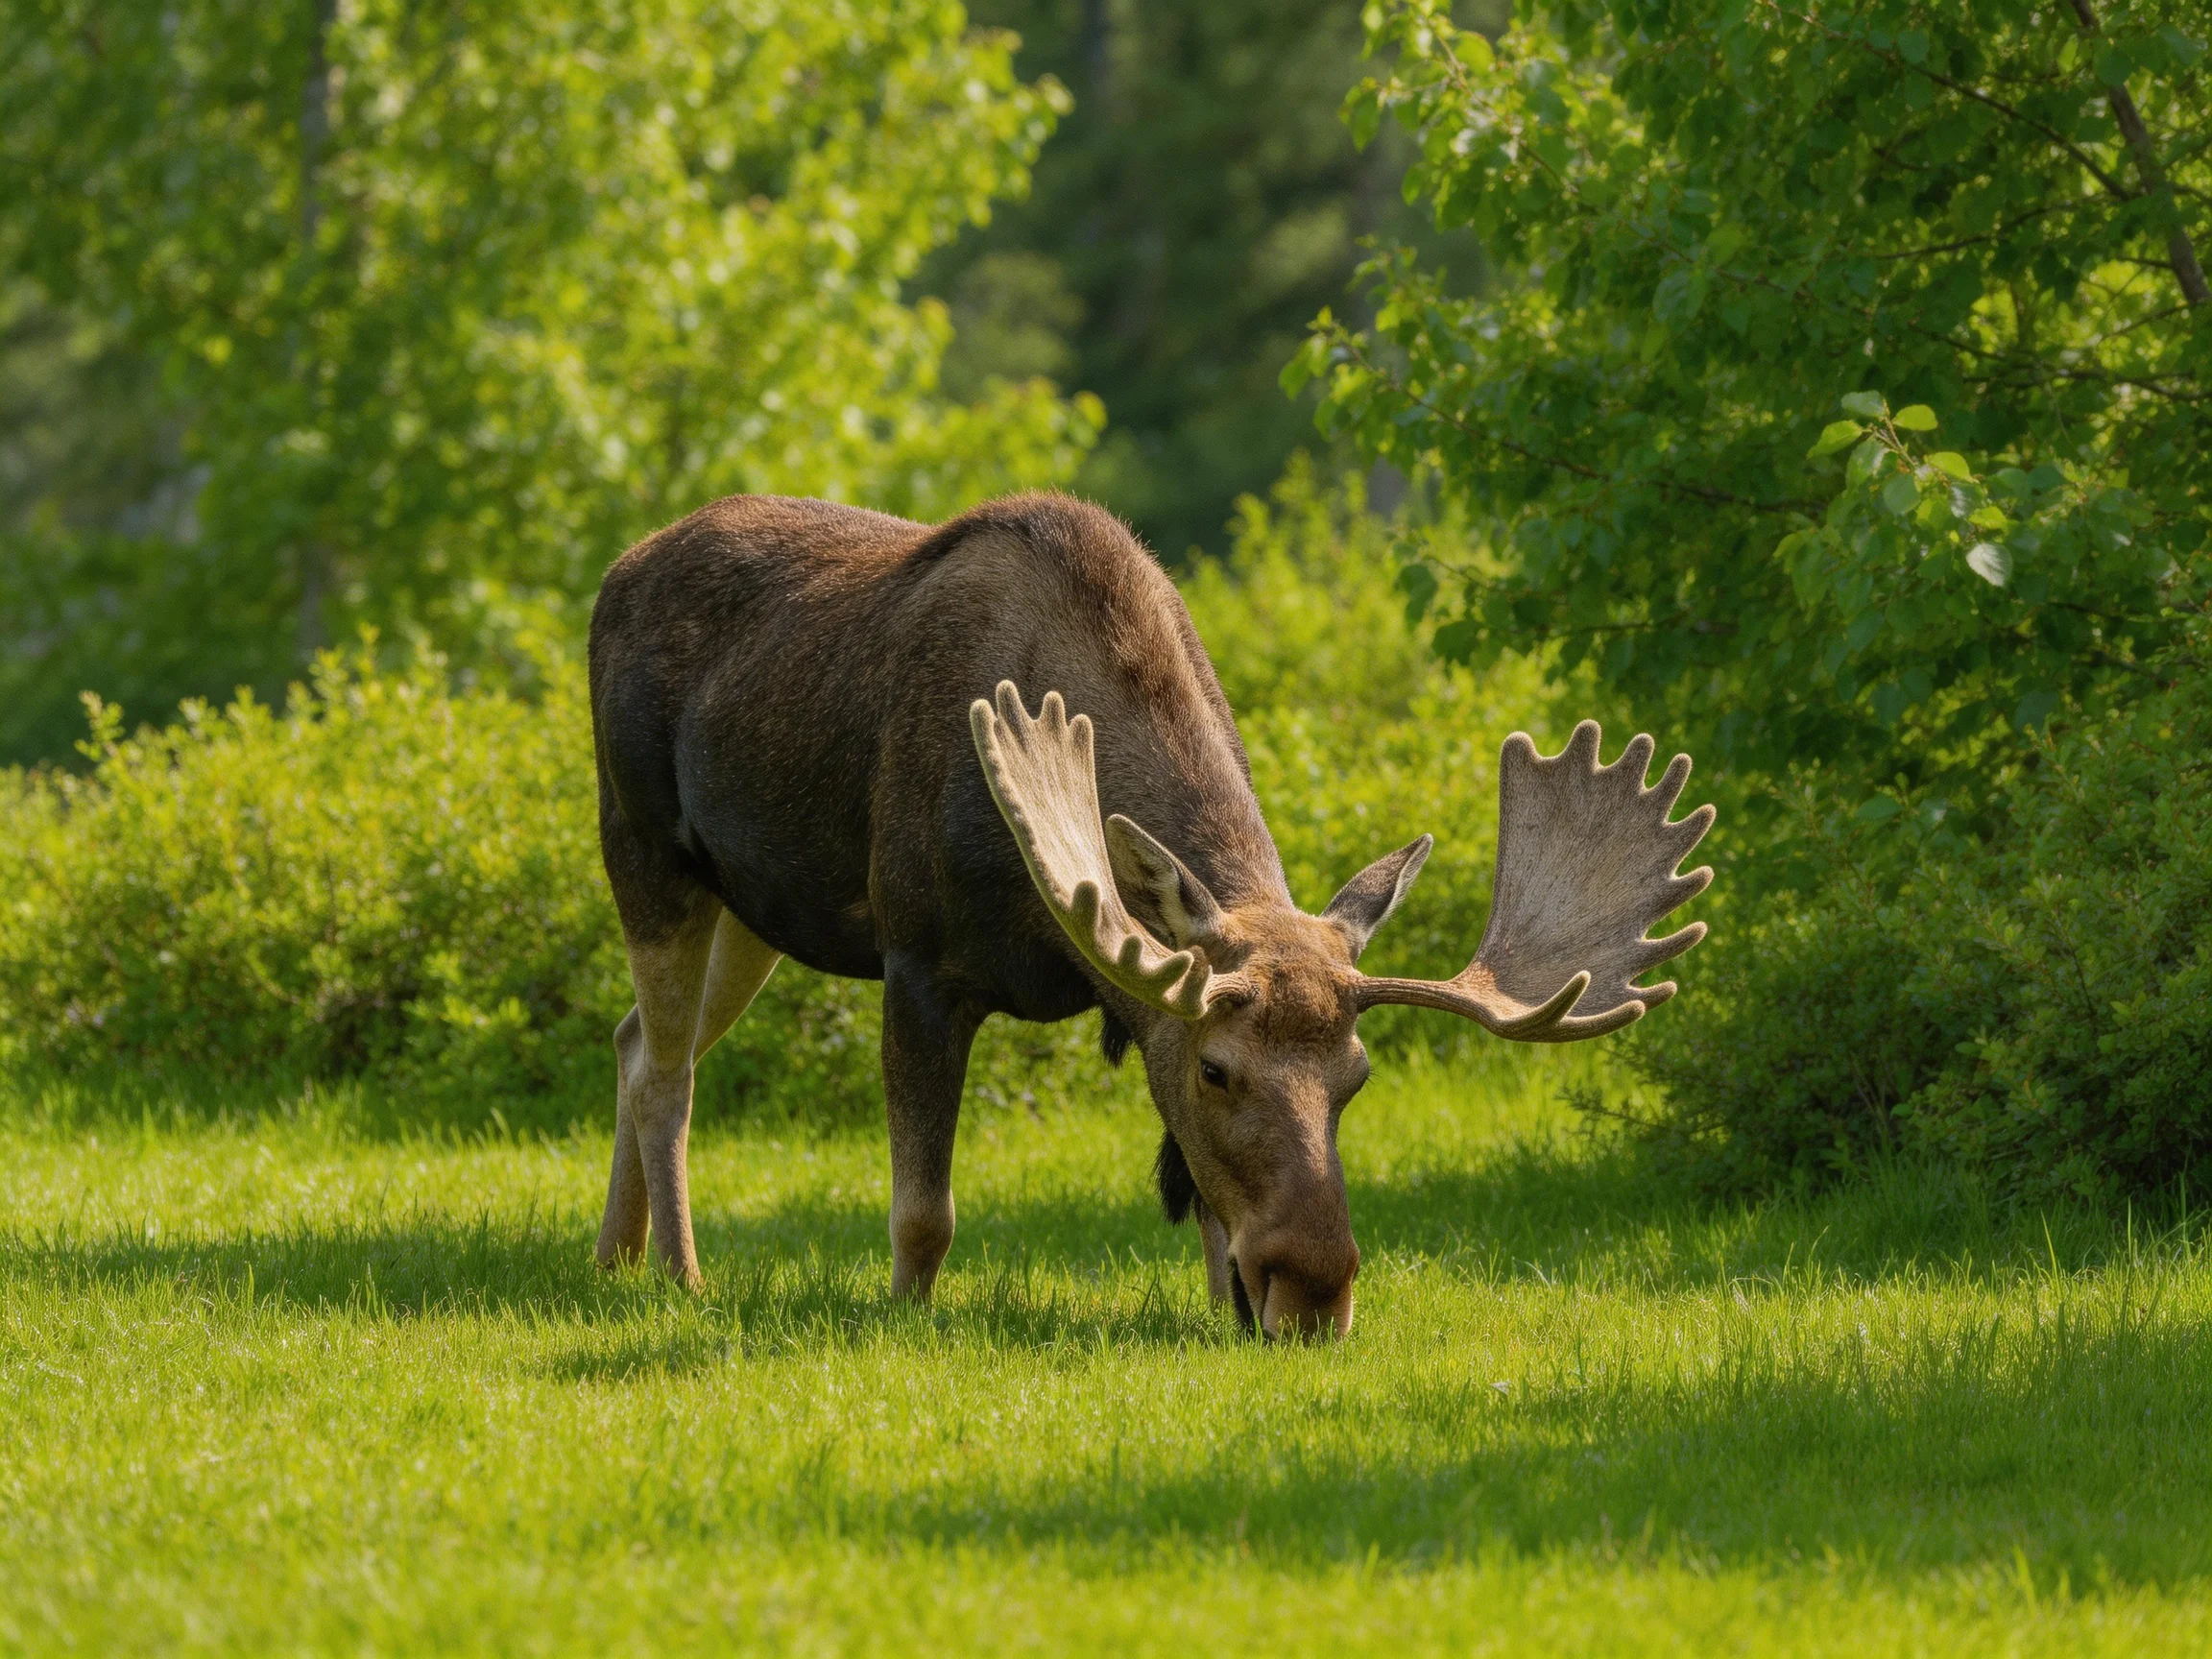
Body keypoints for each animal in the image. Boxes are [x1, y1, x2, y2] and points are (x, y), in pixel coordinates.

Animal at [587, 491, 1713, 1337]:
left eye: (1357, 1078)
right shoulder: (917, 958)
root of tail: (613, 574)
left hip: (752, 911)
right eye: (1218, 1068)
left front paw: (1225, 1306)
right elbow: (923, 1212)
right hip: (645, 850)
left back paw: (612, 1260)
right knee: (670, 1070)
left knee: (635, 1038)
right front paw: (905, 1315)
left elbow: (1201, 1205)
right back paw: (681, 1276)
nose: (1317, 1294)